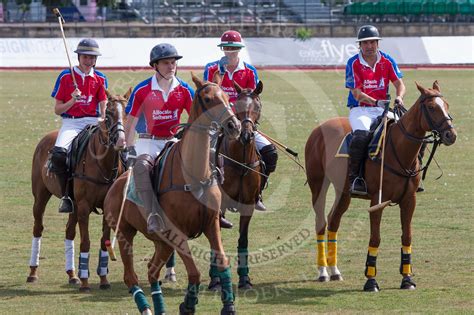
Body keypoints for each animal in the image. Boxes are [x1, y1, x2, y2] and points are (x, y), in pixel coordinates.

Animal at [27, 90, 128, 292]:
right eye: (109, 114)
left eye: (126, 112)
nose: (121, 141)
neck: (103, 164)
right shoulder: (84, 206)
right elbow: (85, 242)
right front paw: (85, 282)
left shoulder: (105, 209)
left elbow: (103, 242)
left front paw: (103, 280)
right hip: (41, 196)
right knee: (38, 228)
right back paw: (33, 272)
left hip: (72, 204)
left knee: (69, 232)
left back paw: (72, 275)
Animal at [105, 73, 243, 314]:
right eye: (208, 99)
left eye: (227, 97)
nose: (234, 126)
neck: (193, 174)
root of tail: (115, 186)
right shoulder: (178, 231)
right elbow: (194, 272)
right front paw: (187, 305)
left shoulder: (211, 223)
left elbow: (222, 261)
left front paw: (228, 306)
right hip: (125, 232)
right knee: (130, 276)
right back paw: (146, 308)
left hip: (162, 242)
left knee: (152, 270)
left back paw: (159, 308)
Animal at [208, 81, 264, 292]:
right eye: (236, 105)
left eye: (258, 106)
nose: (246, 135)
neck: (240, 161)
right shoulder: (220, 205)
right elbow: (216, 240)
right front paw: (215, 280)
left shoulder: (248, 204)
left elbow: (243, 239)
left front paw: (244, 278)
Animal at [306, 82, 458, 294]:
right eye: (431, 107)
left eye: (446, 104)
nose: (451, 135)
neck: (399, 151)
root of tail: (319, 128)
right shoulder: (376, 201)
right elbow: (375, 238)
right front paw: (371, 281)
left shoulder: (409, 200)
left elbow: (407, 236)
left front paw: (407, 279)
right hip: (318, 184)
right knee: (321, 222)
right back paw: (323, 272)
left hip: (343, 192)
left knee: (333, 221)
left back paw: (335, 270)